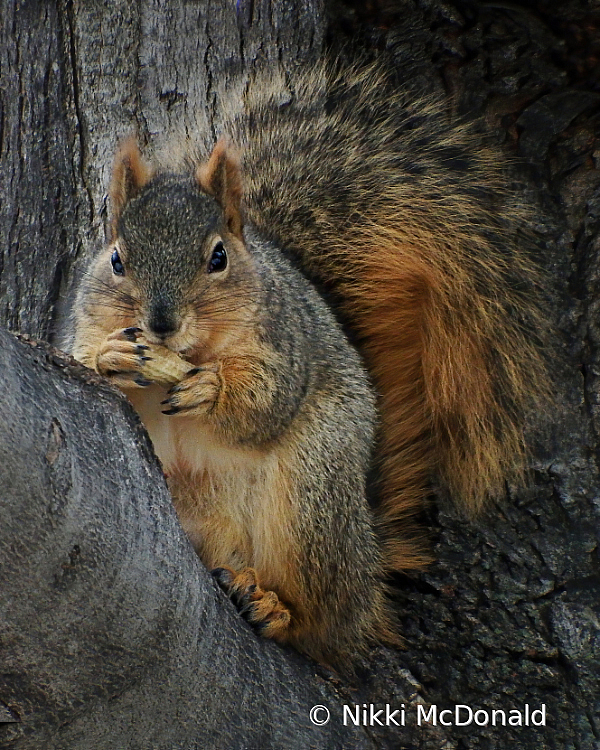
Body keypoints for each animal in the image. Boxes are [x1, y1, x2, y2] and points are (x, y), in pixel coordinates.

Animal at [70, 58, 548, 668]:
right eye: (116, 259)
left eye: (218, 257)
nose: (160, 324)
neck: (191, 351)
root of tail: (369, 562)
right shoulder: (86, 318)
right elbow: (79, 357)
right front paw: (108, 354)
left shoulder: (285, 341)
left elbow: (266, 402)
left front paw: (210, 390)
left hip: (312, 493)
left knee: (323, 621)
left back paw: (277, 610)